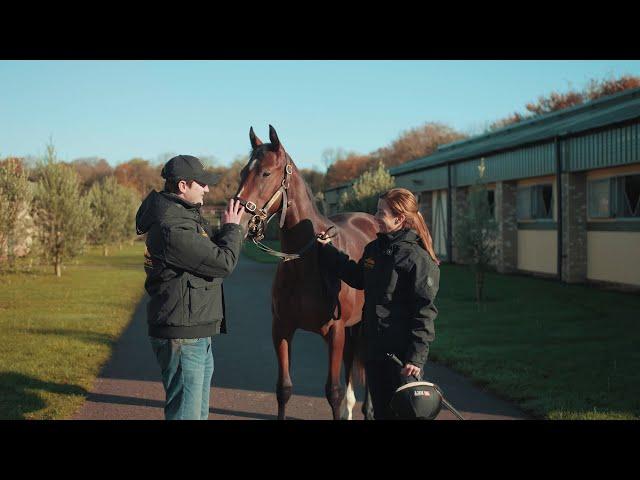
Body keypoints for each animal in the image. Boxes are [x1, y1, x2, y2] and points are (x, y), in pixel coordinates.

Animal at [236, 124, 380, 420]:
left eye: (266, 173)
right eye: (243, 172)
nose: (239, 221)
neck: (306, 262)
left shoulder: (335, 333)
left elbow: (332, 392)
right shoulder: (281, 328)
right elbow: (283, 389)